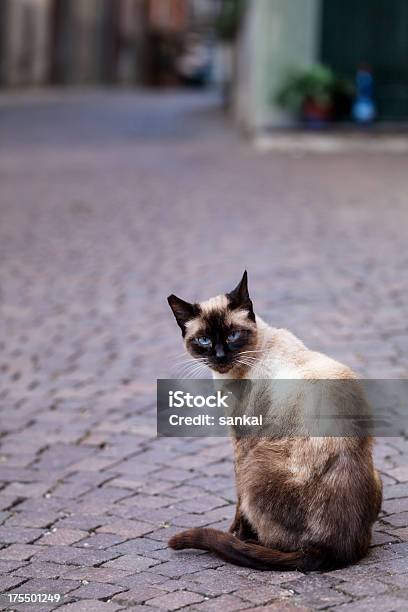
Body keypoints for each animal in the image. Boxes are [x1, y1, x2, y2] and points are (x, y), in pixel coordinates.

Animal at [167, 270, 382, 572]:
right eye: (205, 341)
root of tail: (337, 550)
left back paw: (249, 541)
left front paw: (237, 533)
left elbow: (238, 503)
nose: (220, 356)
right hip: (377, 473)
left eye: (233, 335)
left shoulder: (241, 442)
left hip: (255, 465)